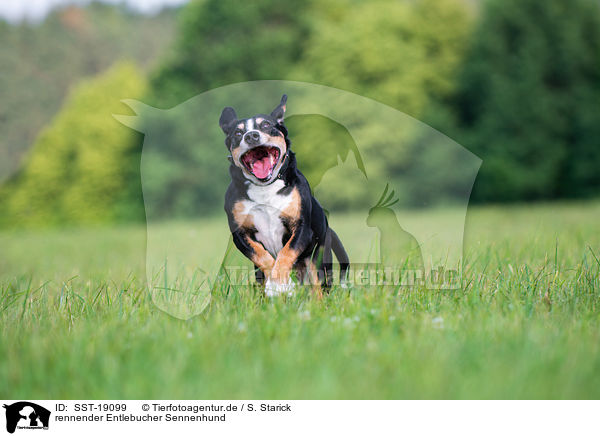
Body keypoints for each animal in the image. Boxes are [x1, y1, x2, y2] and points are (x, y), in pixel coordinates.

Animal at [220, 93, 350, 294]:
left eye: (266, 125)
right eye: (238, 133)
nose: (251, 136)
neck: (264, 188)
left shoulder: (302, 227)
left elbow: (287, 252)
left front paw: (279, 279)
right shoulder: (240, 234)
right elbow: (262, 256)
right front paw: (276, 283)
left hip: (319, 262)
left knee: (318, 289)